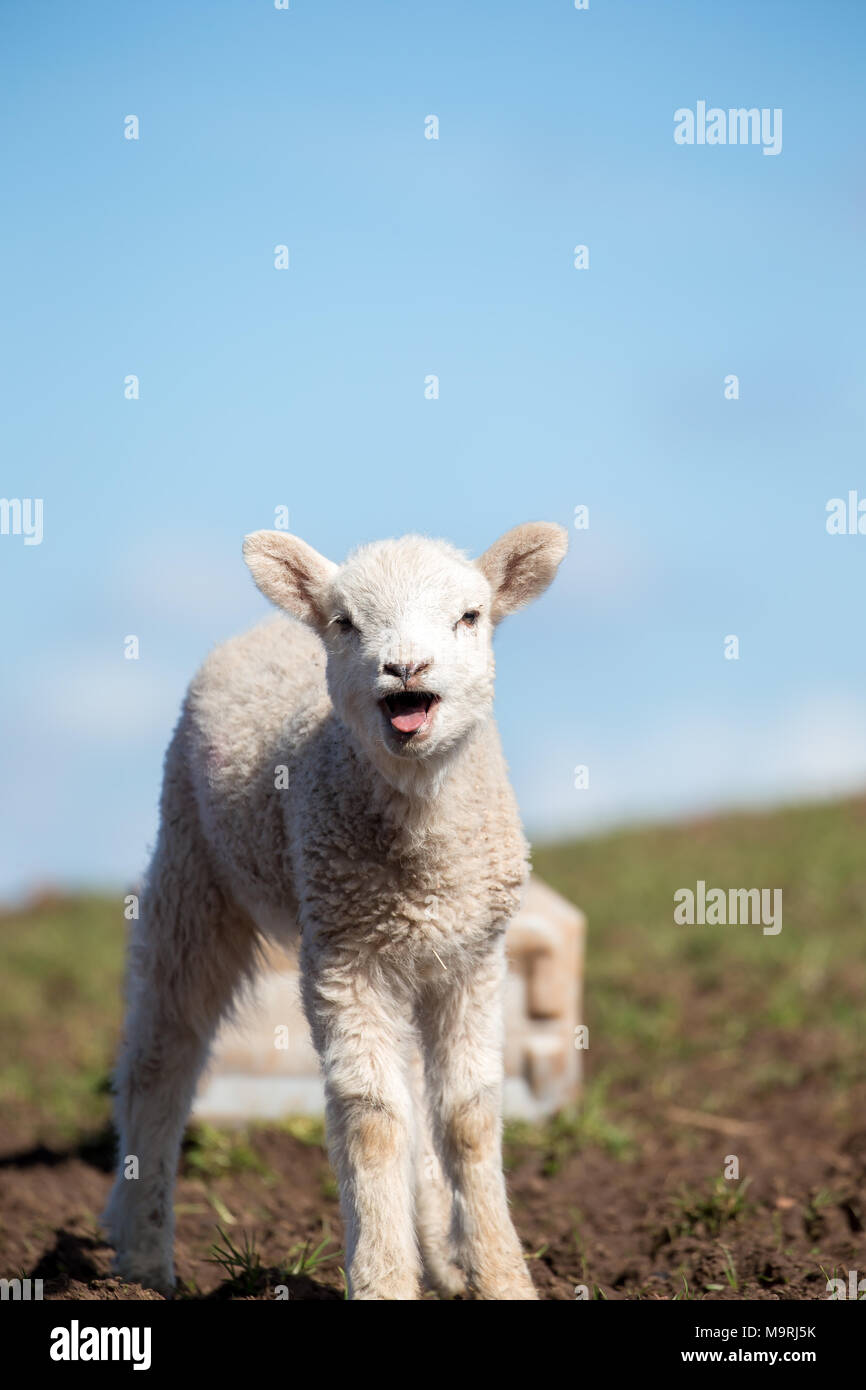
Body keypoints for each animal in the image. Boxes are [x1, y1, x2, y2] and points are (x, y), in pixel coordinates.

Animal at [103, 522, 569, 1301]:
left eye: (470, 616)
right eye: (346, 622)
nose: (405, 668)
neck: (423, 849)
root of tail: (264, 625)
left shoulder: (473, 956)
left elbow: (468, 1116)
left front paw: (501, 1277)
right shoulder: (345, 958)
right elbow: (372, 1123)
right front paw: (384, 1279)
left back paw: (440, 1260)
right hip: (191, 863)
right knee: (160, 1058)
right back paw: (140, 1256)